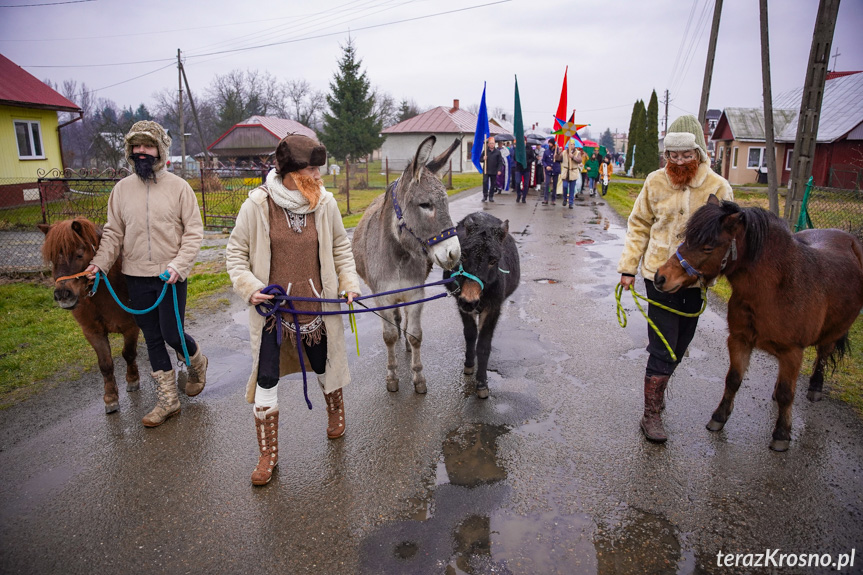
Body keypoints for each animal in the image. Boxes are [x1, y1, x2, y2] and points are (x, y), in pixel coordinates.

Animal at [38, 218, 140, 412]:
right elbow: (105, 364)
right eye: (53, 258)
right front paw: (110, 398)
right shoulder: (93, 332)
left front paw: (132, 380)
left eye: (79, 255)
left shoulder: (131, 327)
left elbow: (129, 353)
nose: (63, 295)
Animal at [656, 196, 863, 452]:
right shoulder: (739, 340)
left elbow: (786, 394)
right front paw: (719, 418)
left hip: (834, 332)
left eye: (708, 247)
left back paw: (815, 388)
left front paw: (781, 435)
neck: (775, 288)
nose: (660, 277)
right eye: (686, 239)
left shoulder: (793, 351)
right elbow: (733, 380)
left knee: (822, 356)